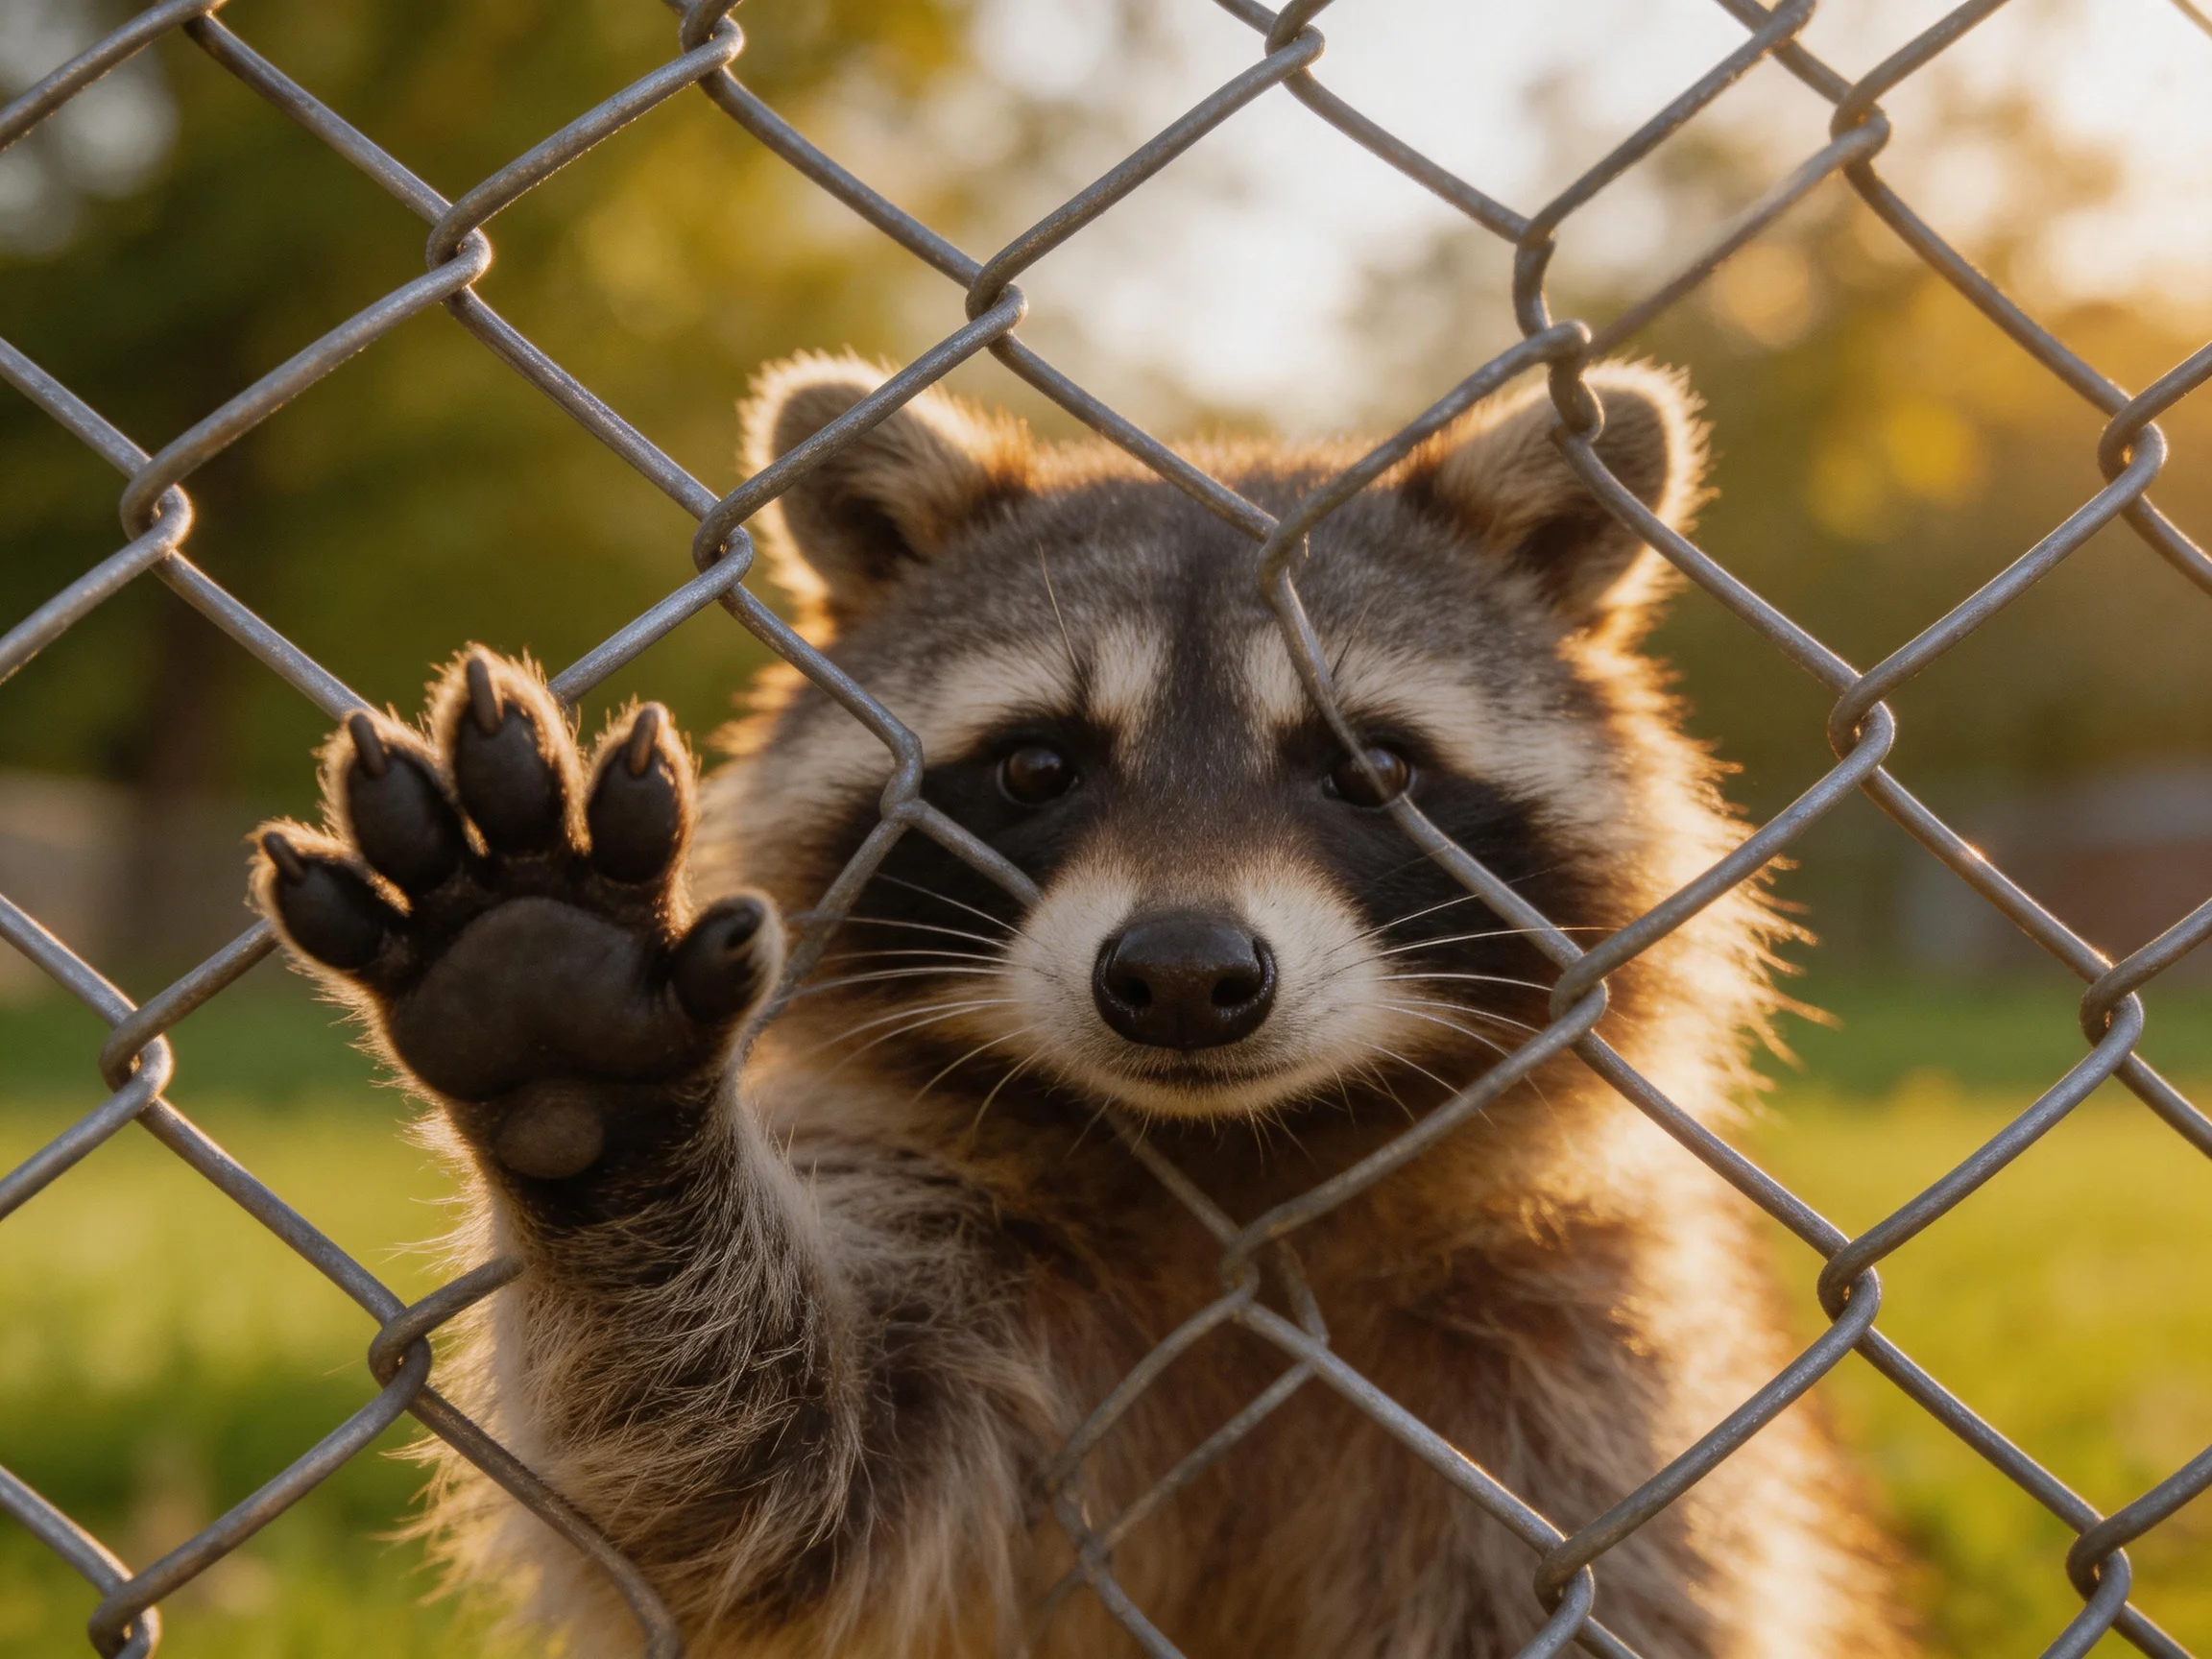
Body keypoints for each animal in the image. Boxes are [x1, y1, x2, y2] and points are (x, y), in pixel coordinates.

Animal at [251, 353, 1907, 1658]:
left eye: (1370, 769)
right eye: (1038, 765)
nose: (1182, 975)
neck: (1234, 1178)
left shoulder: (1577, 1352)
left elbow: (1613, 1590)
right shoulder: (940, 1227)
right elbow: (767, 1492)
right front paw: (596, 1093)